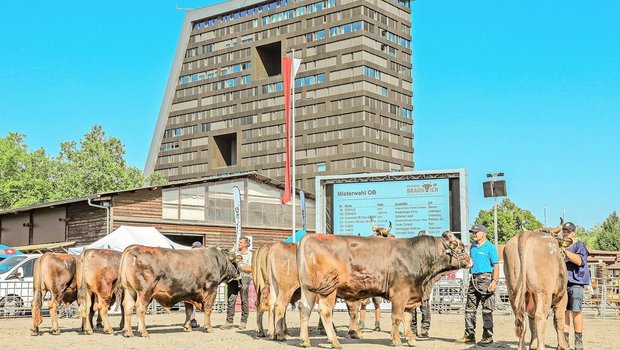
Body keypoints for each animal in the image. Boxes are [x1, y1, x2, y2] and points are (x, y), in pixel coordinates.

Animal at [296, 231, 470, 348]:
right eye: (459, 247)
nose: (470, 261)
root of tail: (311, 237)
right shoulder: (400, 293)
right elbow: (397, 317)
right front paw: (396, 340)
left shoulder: (410, 296)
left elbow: (408, 318)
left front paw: (411, 340)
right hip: (328, 289)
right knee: (324, 312)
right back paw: (335, 342)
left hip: (309, 289)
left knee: (304, 310)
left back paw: (305, 341)